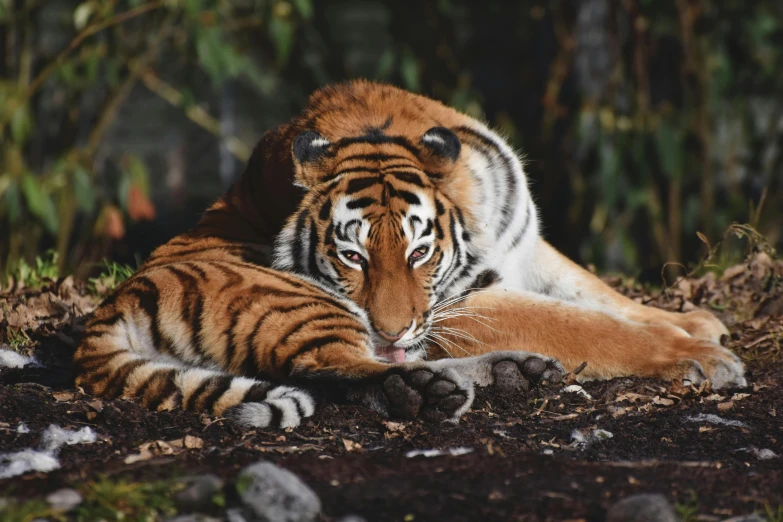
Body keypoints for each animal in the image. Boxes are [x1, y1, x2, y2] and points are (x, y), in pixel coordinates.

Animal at [205, 80, 752, 390]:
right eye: (351, 257)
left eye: (419, 252)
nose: (388, 334)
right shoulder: (462, 303)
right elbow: (584, 326)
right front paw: (698, 356)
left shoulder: (522, 248)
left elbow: (596, 293)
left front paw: (695, 323)